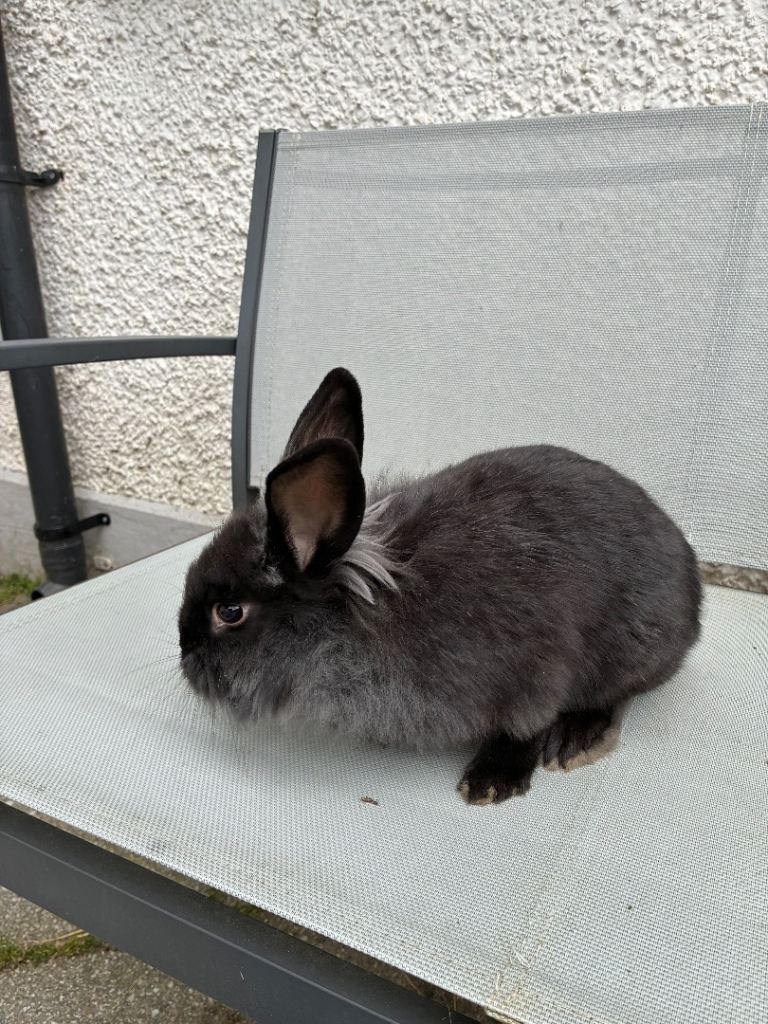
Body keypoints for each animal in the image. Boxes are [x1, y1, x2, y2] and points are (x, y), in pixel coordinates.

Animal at [179, 368, 702, 804]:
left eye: (229, 612)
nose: (184, 657)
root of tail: (692, 582)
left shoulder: (537, 668)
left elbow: (523, 726)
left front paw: (491, 782)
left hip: (631, 648)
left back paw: (577, 738)